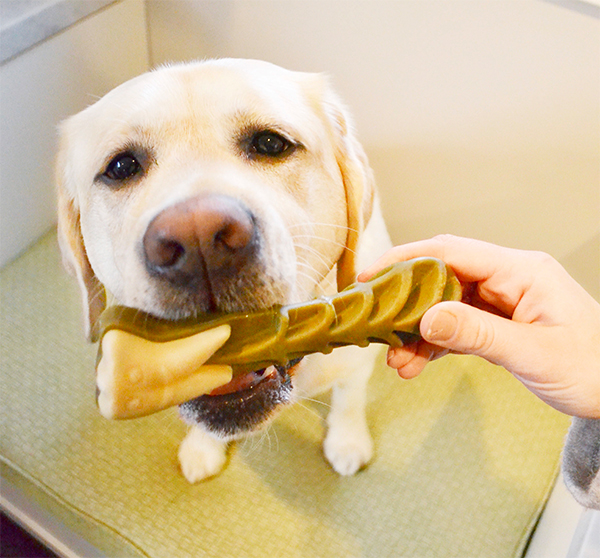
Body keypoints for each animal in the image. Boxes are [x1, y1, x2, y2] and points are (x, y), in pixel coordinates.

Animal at [57, 59, 394, 484]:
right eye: (121, 166)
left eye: (271, 144)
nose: (198, 239)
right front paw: (203, 448)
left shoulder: (359, 359)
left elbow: (350, 396)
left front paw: (347, 441)